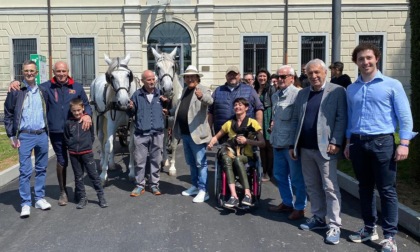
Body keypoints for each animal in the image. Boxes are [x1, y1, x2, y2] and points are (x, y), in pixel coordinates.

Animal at [89, 54, 137, 185]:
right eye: (111, 77)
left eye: (128, 75)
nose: (124, 102)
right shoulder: (111, 122)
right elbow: (107, 146)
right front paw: (103, 175)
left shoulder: (132, 123)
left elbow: (131, 146)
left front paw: (132, 173)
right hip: (98, 115)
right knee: (102, 138)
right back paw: (103, 162)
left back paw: (111, 163)